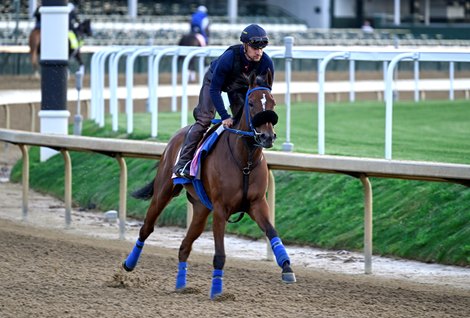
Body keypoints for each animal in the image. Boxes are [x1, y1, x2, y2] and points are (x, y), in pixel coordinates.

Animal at [123, 68, 296, 300]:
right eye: (251, 103)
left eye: (272, 102)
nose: (266, 136)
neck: (245, 161)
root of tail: (175, 138)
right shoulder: (221, 209)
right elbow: (220, 253)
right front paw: (217, 289)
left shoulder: (257, 203)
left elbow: (272, 232)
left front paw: (286, 267)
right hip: (163, 192)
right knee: (146, 228)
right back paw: (129, 264)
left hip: (201, 208)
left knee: (184, 246)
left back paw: (181, 285)